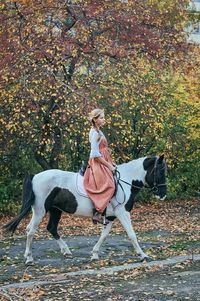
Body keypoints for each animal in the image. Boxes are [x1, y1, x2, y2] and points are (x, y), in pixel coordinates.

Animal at [3, 155, 166, 262]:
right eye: (160, 171)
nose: (163, 194)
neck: (125, 181)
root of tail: (35, 176)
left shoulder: (111, 216)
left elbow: (104, 236)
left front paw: (94, 254)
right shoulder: (122, 213)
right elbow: (132, 234)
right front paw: (142, 255)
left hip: (54, 210)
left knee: (50, 228)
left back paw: (65, 251)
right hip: (40, 211)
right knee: (31, 230)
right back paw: (29, 258)